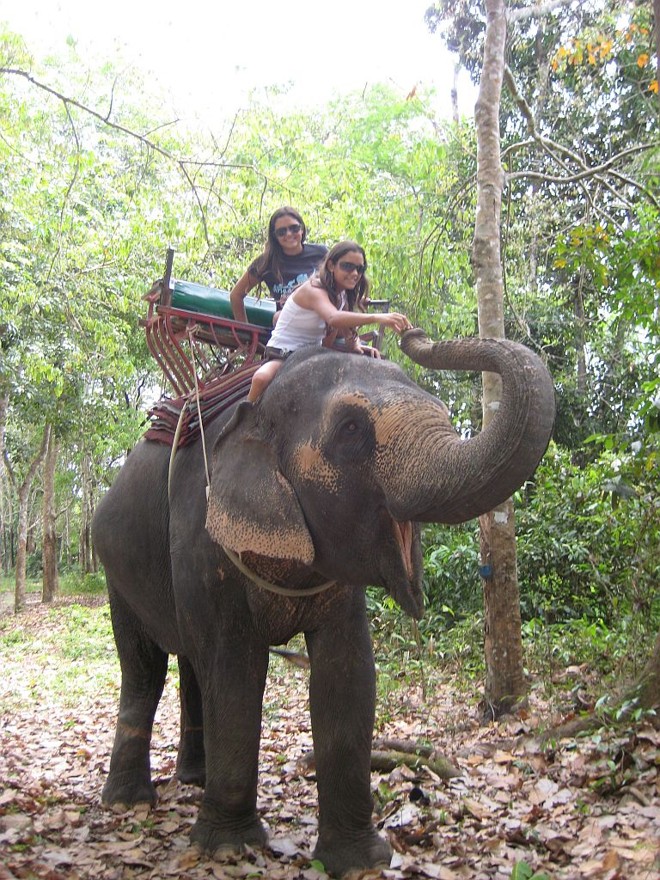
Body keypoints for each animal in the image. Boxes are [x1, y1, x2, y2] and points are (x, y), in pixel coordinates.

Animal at [92, 329, 555, 877]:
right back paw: (128, 801)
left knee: (189, 665)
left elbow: (347, 672)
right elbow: (235, 670)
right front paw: (228, 848)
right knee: (145, 669)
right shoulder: (203, 533)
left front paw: (358, 861)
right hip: (115, 569)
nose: (414, 334)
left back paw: (193, 781)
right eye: (351, 430)